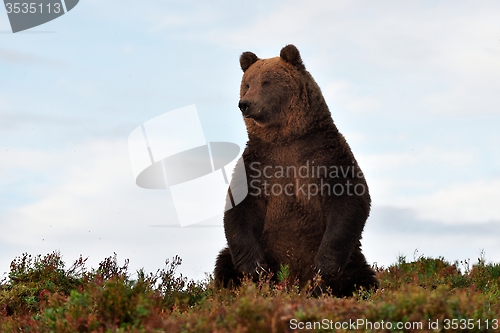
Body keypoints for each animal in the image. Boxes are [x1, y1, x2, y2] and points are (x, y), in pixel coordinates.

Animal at [213, 44, 376, 296]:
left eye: (267, 81)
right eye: (247, 83)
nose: (245, 104)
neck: (285, 138)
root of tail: (294, 284)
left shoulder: (325, 156)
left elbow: (349, 198)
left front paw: (324, 266)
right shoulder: (257, 165)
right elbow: (239, 208)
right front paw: (257, 268)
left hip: (353, 259)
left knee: (361, 275)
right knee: (223, 261)